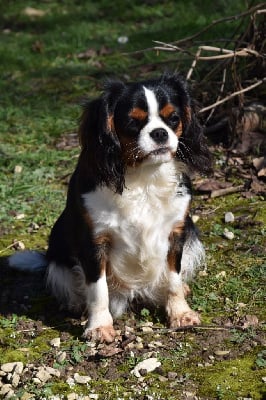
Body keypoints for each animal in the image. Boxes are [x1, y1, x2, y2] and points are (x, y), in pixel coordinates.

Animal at [8, 73, 212, 342]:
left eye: (174, 118)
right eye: (132, 121)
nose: (160, 133)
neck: (143, 176)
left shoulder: (176, 234)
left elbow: (173, 279)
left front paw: (180, 313)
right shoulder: (94, 242)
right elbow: (98, 289)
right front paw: (99, 326)